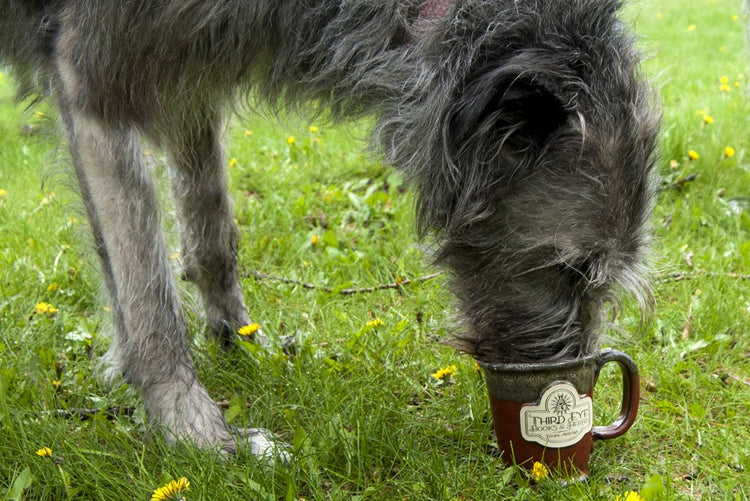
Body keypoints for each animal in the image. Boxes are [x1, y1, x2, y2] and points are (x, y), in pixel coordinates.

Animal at [0, 0, 656, 454]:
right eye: (571, 269)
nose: (568, 381)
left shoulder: (188, 61)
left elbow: (211, 225)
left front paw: (238, 338)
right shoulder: (94, 84)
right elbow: (149, 302)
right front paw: (199, 436)